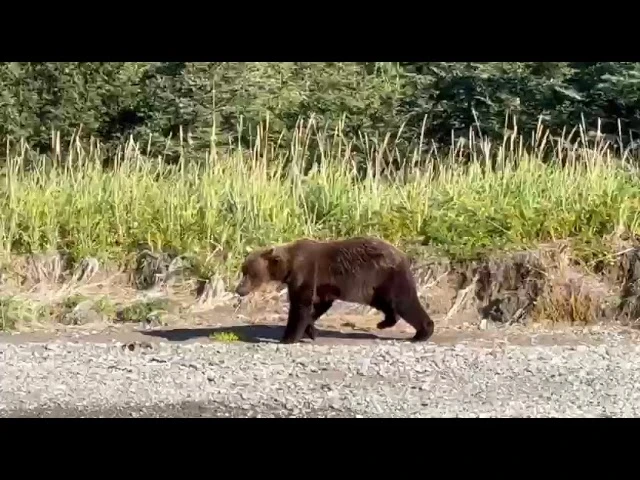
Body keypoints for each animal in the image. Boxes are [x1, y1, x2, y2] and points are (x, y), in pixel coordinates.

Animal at [234, 236, 435, 344]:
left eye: (250, 273)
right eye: (244, 271)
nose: (239, 289)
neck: (289, 265)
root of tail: (403, 255)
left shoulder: (306, 272)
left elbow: (300, 305)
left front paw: (288, 337)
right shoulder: (323, 285)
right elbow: (317, 305)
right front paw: (311, 331)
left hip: (386, 276)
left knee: (404, 302)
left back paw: (422, 332)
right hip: (375, 287)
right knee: (386, 303)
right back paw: (385, 322)